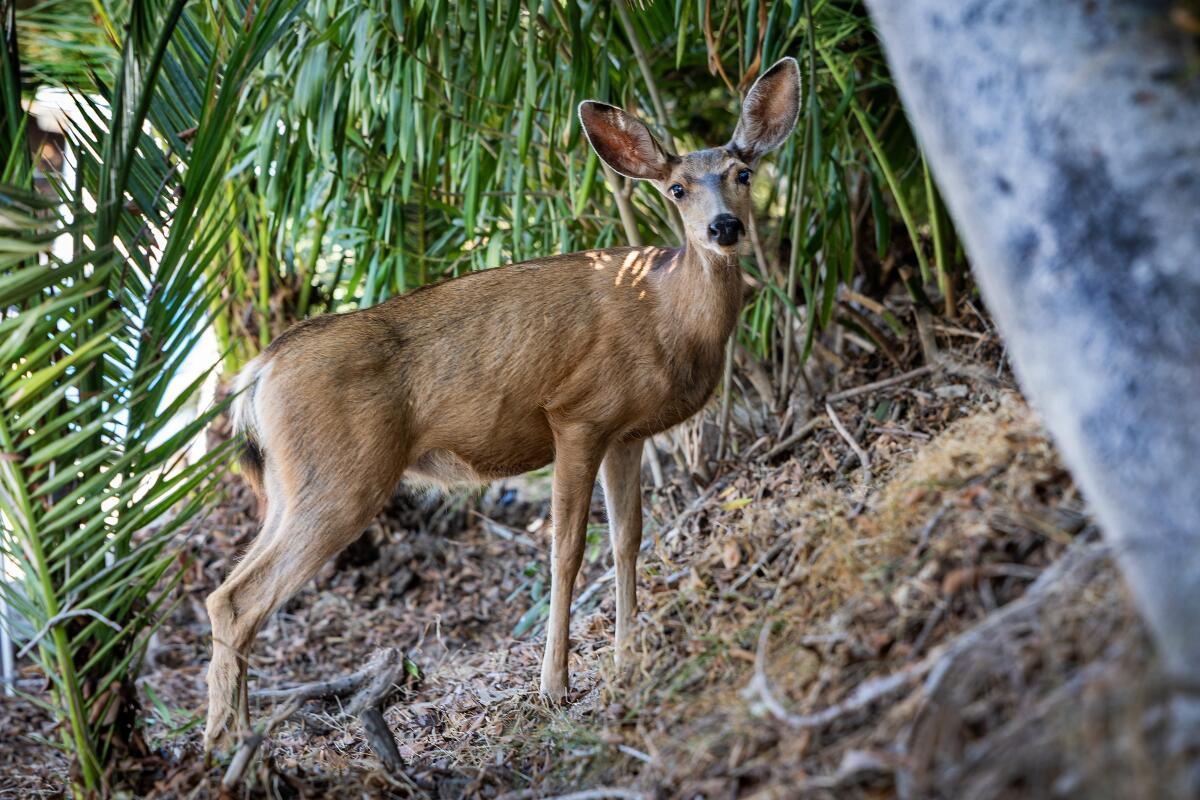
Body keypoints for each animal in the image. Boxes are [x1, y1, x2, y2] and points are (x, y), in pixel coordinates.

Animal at [203, 57, 800, 751]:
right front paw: (555, 688)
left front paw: (628, 663)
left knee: (226, 593)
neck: (666, 312)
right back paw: (229, 745)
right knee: (239, 599)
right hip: (342, 475)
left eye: (743, 173)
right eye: (677, 188)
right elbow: (567, 550)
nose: (723, 227)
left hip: (291, 482)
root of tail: (260, 372)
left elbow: (627, 541)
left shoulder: (626, 433)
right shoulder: (577, 414)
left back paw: (230, 739)